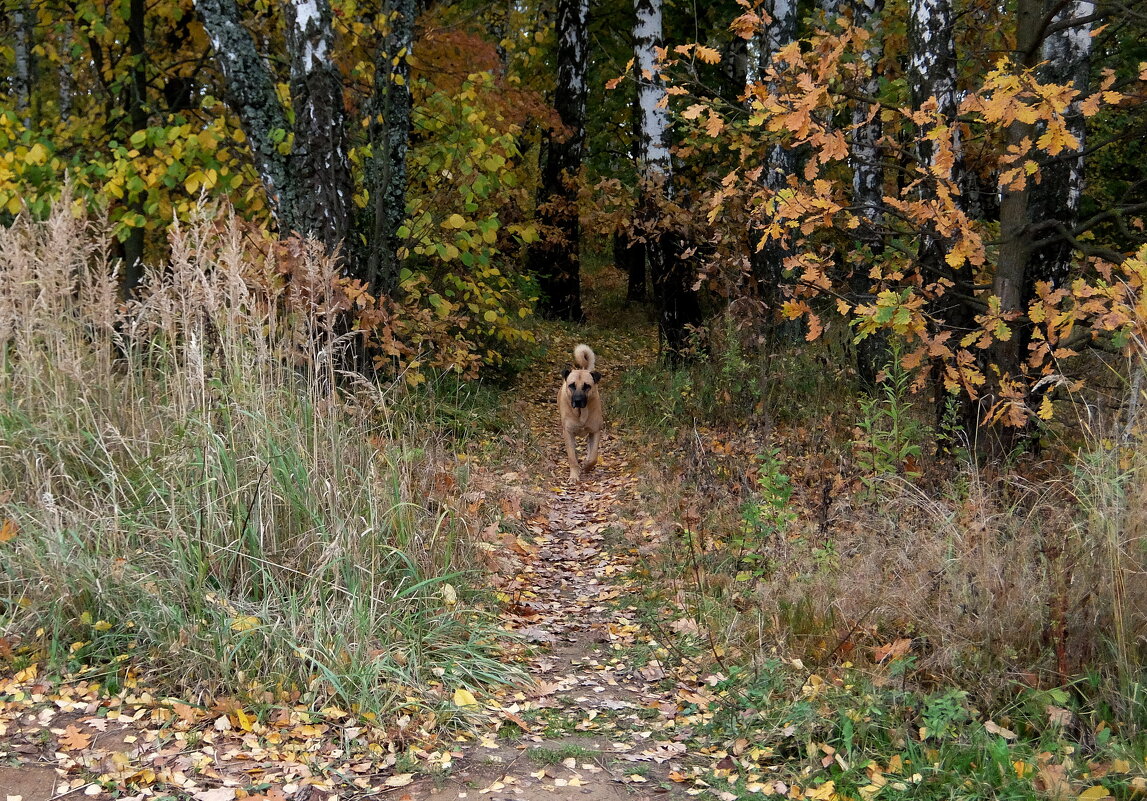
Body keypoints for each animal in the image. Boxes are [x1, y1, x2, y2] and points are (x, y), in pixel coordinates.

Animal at [559, 344, 605, 479]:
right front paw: (574, 476)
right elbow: (572, 457)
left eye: (587, 386)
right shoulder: (568, 432)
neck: (581, 413)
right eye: (572, 385)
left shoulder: (595, 431)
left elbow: (593, 456)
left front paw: (586, 467)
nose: (578, 401)